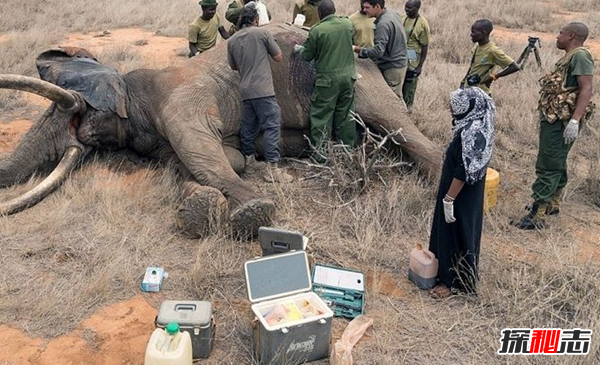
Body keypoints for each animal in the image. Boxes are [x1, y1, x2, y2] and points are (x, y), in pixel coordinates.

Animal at [0, 24, 440, 237]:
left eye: (72, 113)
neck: (132, 86)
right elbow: (196, 163)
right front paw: (202, 207)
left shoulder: (180, 104)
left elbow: (202, 155)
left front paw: (255, 211)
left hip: (359, 77)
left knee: (396, 123)